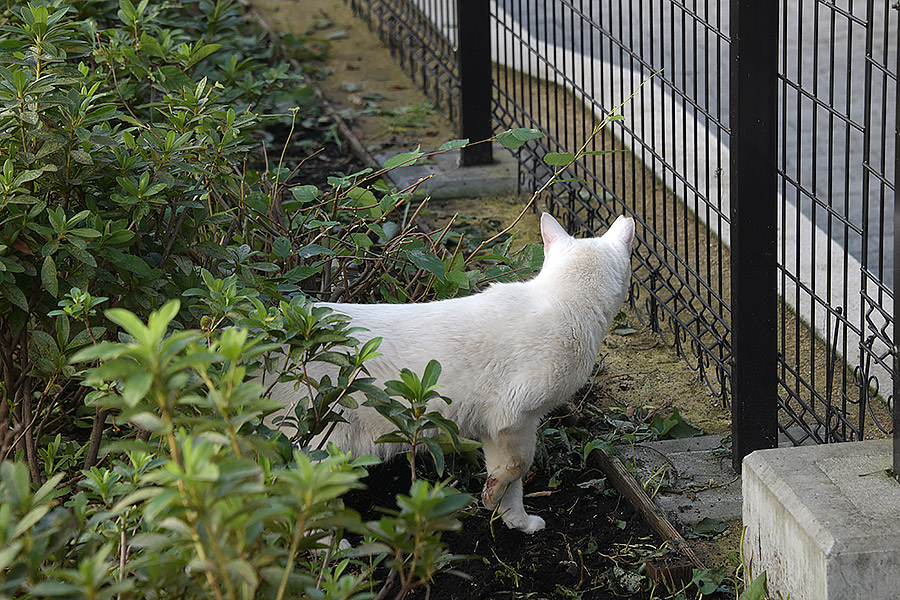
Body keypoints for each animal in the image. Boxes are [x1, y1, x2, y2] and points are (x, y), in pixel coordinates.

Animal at [268, 213, 632, 532]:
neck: (565, 302)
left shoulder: (496, 427)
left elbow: (509, 479)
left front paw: (514, 519)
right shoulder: (516, 418)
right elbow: (518, 468)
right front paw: (493, 499)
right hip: (322, 443)